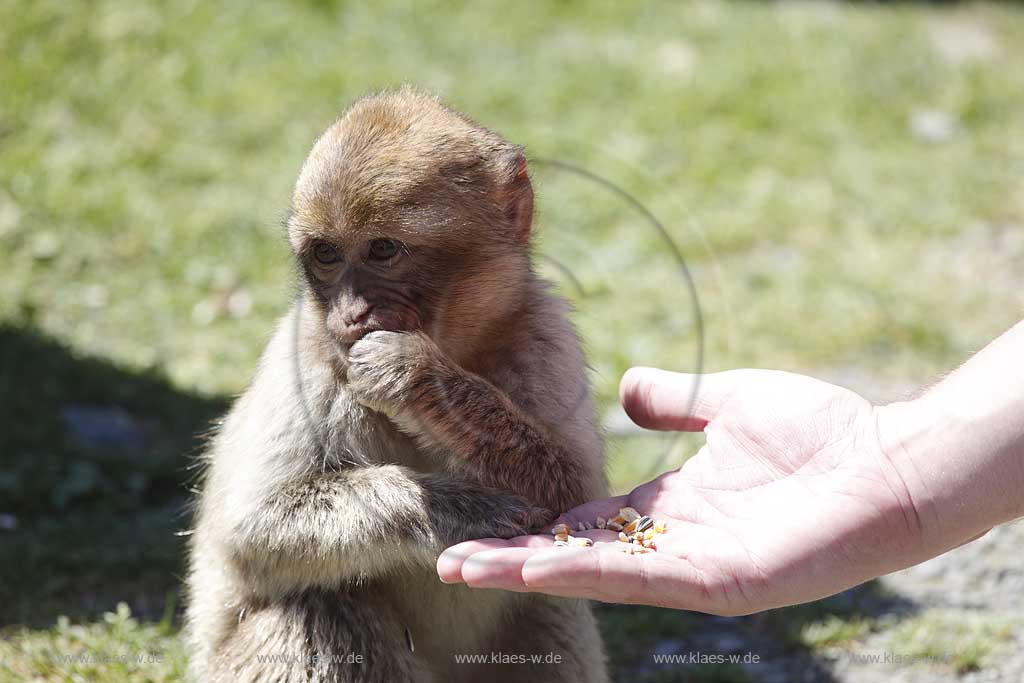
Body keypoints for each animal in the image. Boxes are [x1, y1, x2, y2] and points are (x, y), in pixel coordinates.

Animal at [186, 92, 606, 683]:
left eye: (383, 249)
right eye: (326, 254)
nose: (350, 314)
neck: (456, 343)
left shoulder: (544, 332)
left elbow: (578, 493)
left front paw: (414, 375)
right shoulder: (306, 357)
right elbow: (254, 528)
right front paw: (461, 509)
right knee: (320, 609)